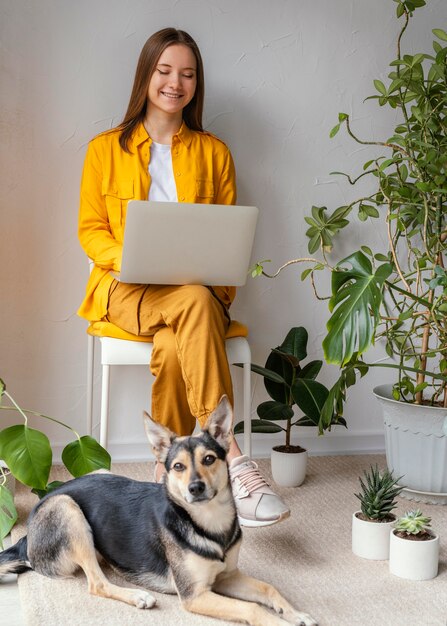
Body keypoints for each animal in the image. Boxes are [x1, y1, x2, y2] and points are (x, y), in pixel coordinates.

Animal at [0, 394, 316, 624]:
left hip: (99, 472)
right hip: (66, 507)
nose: (195, 488)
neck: (208, 522)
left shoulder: (227, 576)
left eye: (209, 459)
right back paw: (138, 596)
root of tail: (26, 539)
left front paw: (297, 613)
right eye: (178, 467)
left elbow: (268, 588)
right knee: (96, 584)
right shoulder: (194, 595)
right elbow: (252, 609)